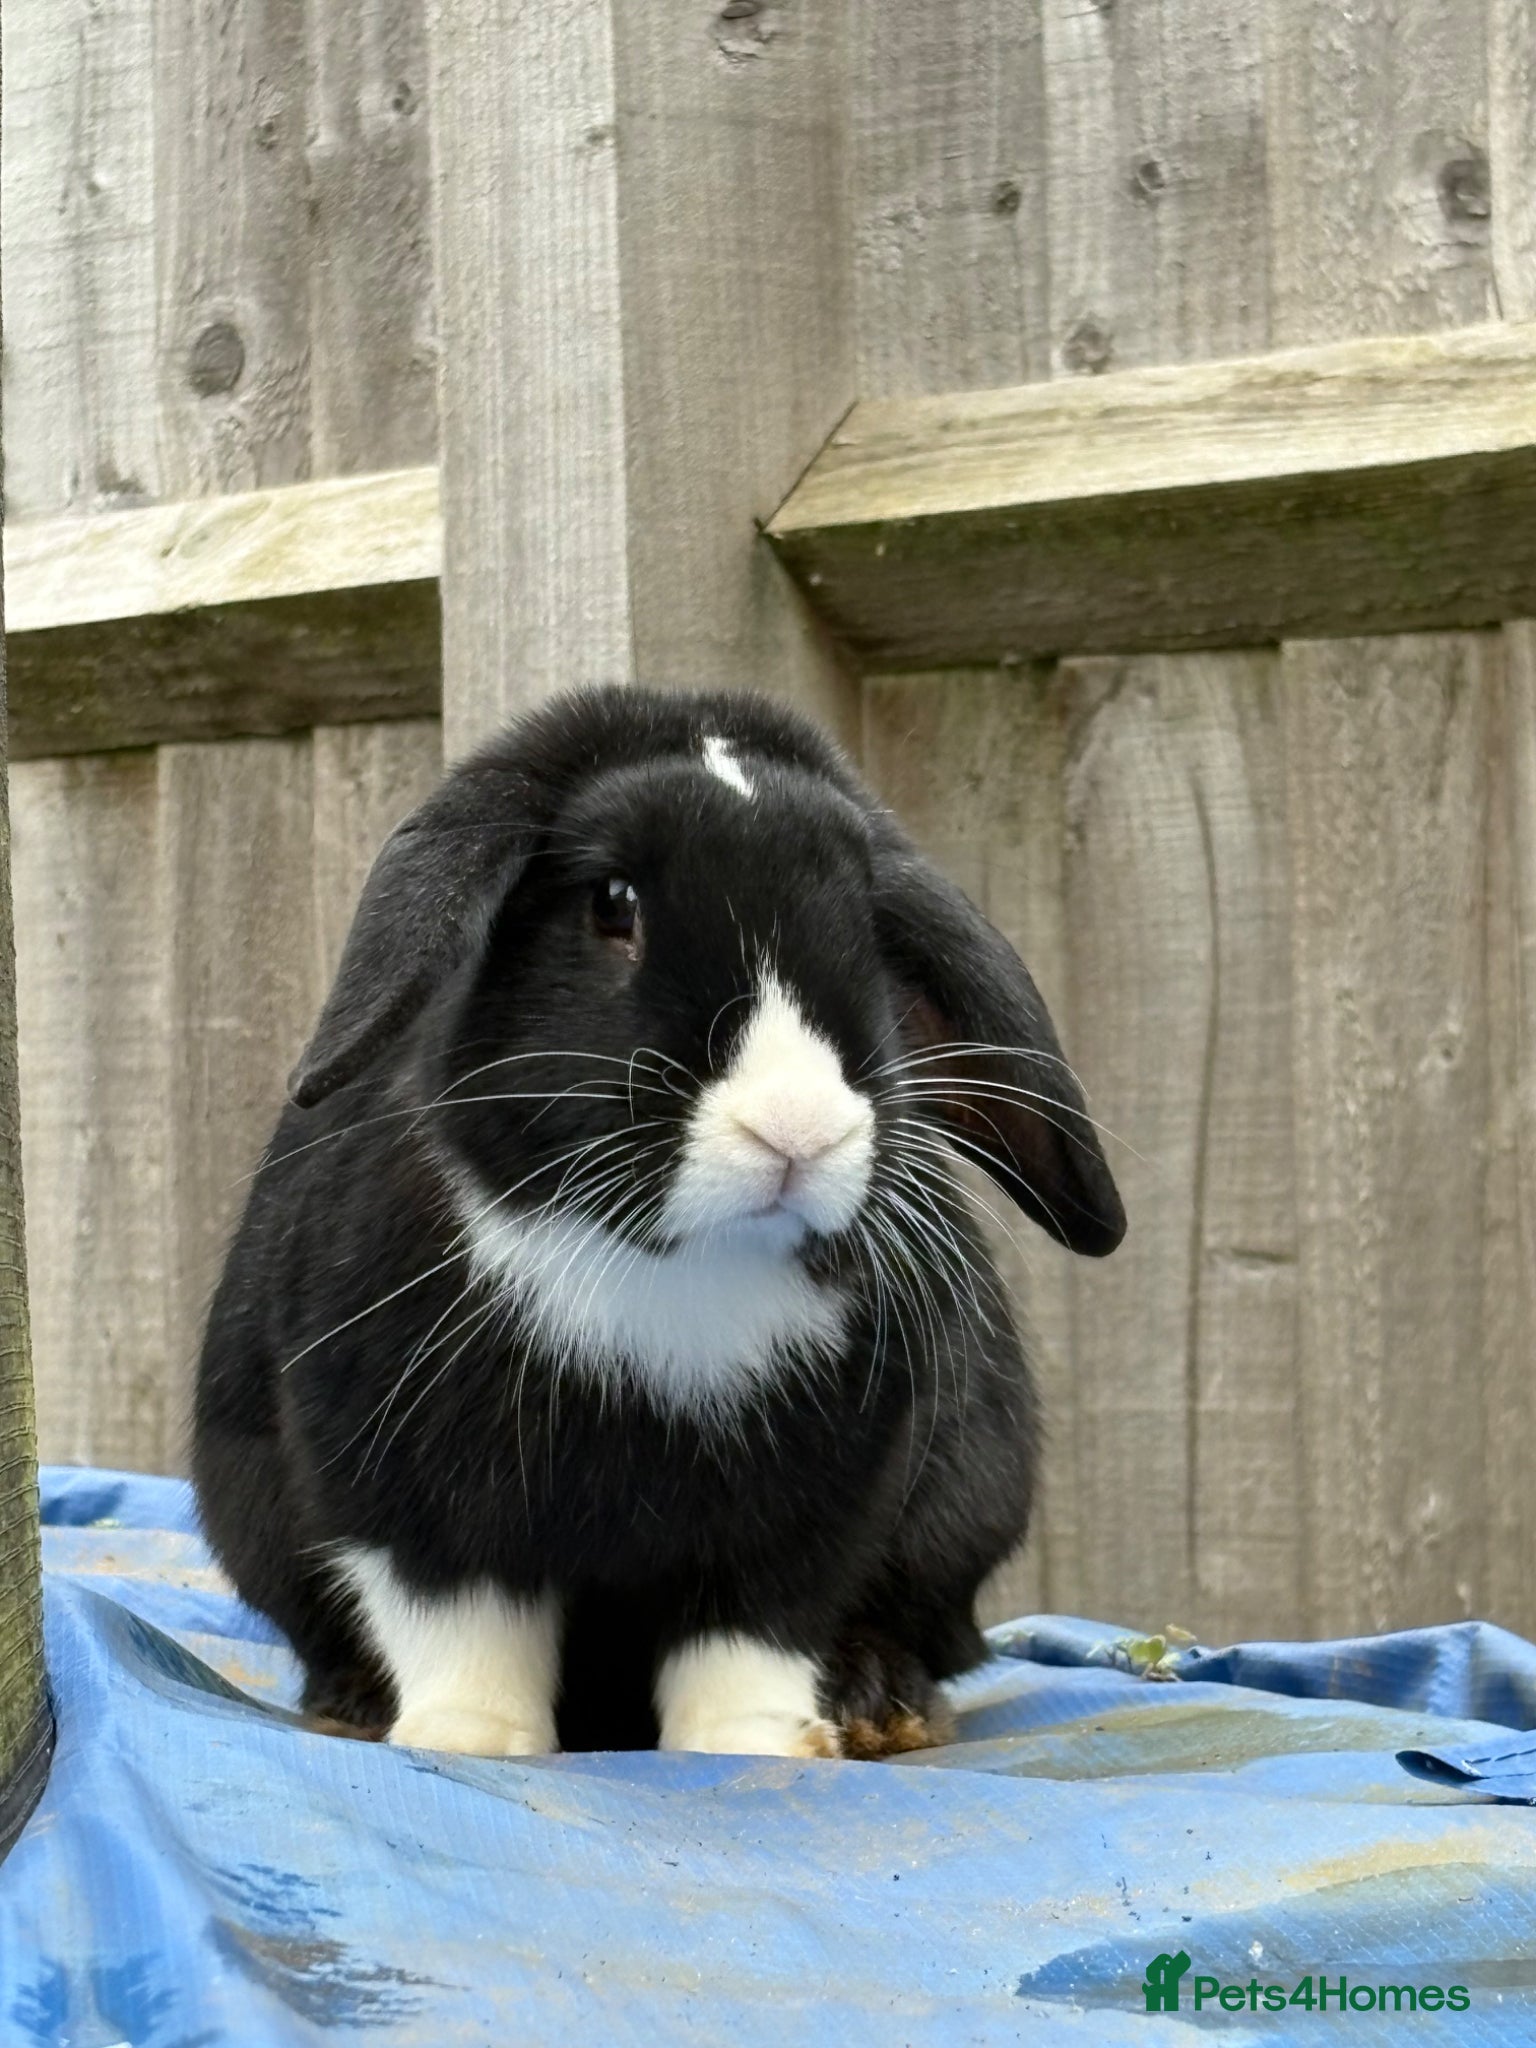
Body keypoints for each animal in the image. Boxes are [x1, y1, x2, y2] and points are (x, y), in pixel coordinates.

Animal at [193, 684, 1124, 1761]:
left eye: (867, 924)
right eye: (612, 903)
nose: (797, 1125)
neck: (673, 1264)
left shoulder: (808, 1504)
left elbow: (751, 1632)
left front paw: (754, 1748)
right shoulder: (402, 1478)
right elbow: (457, 1616)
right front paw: (468, 1740)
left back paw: (877, 1704)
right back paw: (352, 1701)